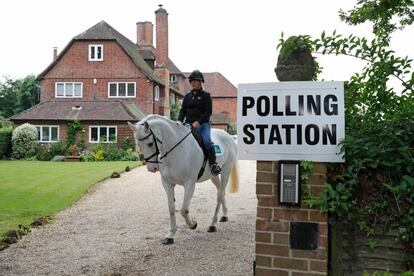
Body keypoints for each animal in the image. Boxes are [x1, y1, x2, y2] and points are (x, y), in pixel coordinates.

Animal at [128, 115, 238, 245]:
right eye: (139, 144)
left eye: (150, 143)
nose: (152, 168)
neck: (175, 152)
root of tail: (228, 136)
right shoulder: (167, 183)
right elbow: (171, 208)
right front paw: (170, 235)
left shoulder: (189, 184)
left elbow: (184, 210)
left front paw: (193, 225)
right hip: (213, 176)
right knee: (221, 191)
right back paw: (224, 215)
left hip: (226, 171)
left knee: (219, 195)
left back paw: (212, 224)